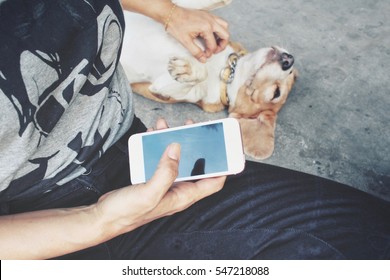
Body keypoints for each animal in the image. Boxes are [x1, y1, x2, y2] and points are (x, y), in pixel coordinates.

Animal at [120, 0, 298, 159]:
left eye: (276, 93)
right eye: (290, 73)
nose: (289, 60)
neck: (225, 70)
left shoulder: (164, 88)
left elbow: (193, 82)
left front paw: (189, 69)